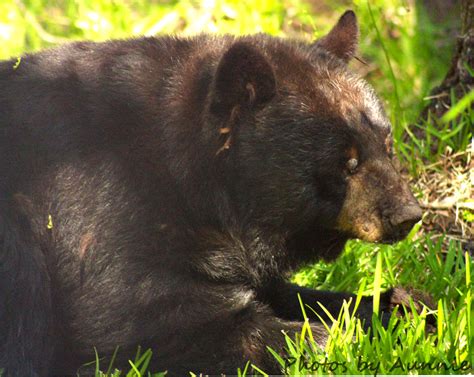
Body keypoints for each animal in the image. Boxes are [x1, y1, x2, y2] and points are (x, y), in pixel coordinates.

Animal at [0, 10, 422, 374]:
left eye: (387, 145)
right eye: (346, 162)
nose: (407, 215)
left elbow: (284, 292)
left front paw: (401, 306)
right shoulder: (100, 199)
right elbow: (127, 312)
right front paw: (328, 339)